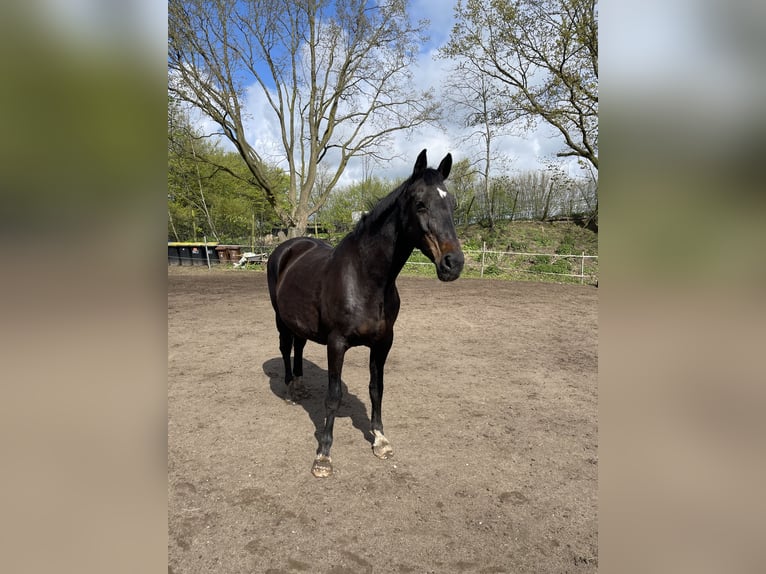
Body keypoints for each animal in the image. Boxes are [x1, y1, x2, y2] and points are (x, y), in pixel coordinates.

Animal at [268, 148, 464, 476]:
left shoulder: (383, 343)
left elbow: (377, 389)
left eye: (451, 204)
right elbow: (333, 397)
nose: (454, 263)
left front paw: (380, 440)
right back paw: (289, 391)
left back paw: (299, 386)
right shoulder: (336, 344)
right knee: (285, 347)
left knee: (299, 345)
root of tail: (287, 248)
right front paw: (323, 455)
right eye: (420, 204)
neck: (365, 278)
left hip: (300, 322)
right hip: (280, 318)